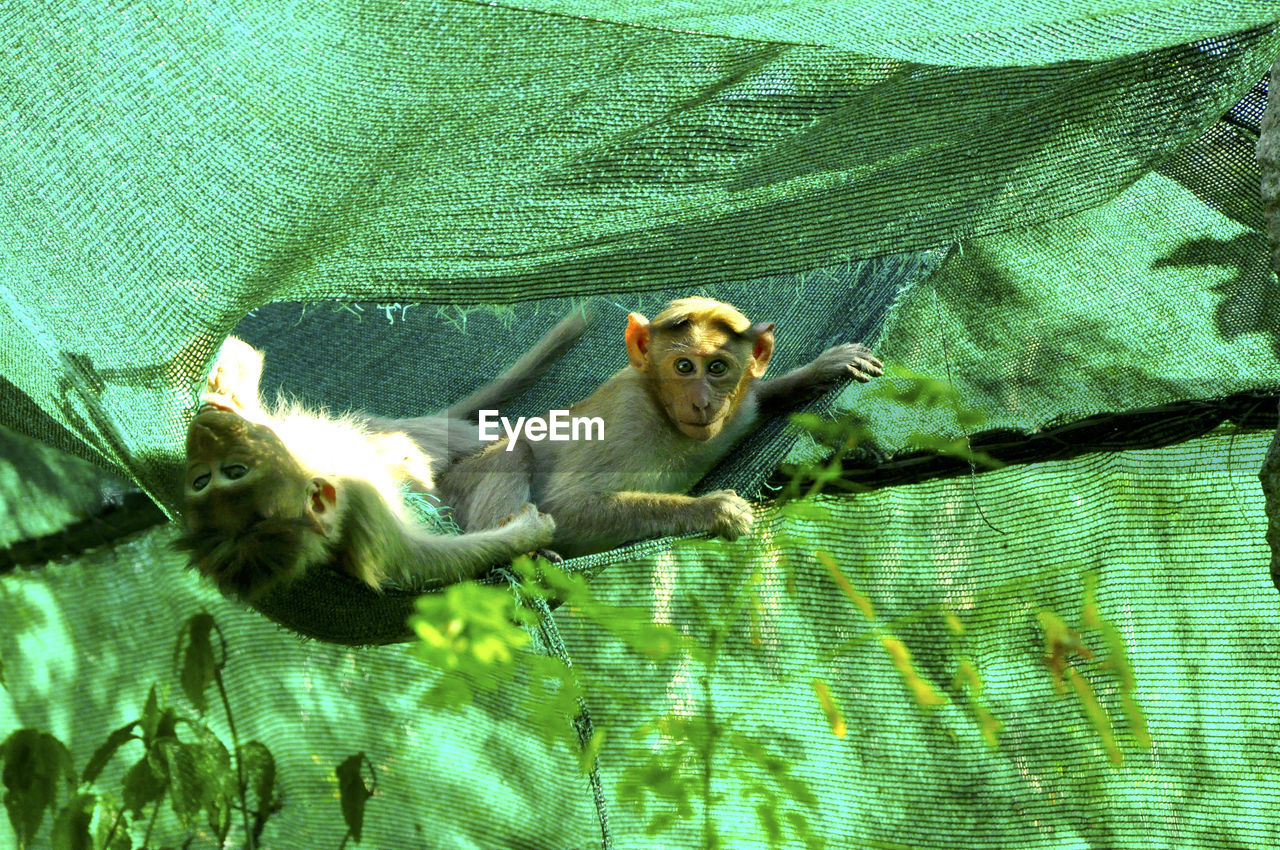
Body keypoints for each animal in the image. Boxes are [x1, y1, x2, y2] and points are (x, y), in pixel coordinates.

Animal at [175, 312, 588, 596]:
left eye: (215, 476)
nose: (206, 437)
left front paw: (224, 386)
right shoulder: (361, 502)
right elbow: (425, 562)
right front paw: (525, 536)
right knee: (512, 450)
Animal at [437, 295, 880, 560]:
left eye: (717, 368)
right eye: (683, 366)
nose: (701, 401)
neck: (665, 416)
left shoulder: (739, 411)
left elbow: (759, 395)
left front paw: (821, 368)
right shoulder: (628, 416)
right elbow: (563, 506)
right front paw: (711, 509)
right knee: (516, 450)